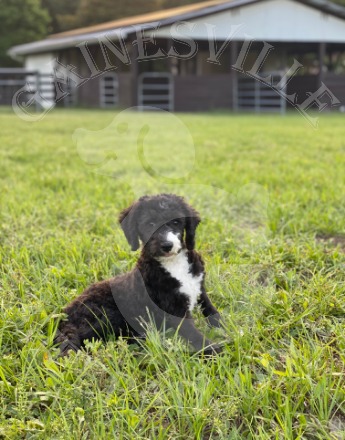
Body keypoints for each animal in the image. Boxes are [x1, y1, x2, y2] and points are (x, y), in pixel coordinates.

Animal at [55, 194, 222, 356]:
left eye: (176, 222)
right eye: (150, 224)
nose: (167, 245)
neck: (173, 263)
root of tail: (65, 315)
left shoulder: (199, 288)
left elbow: (212, 311)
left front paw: (223, 328)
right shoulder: (173, 309)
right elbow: (194, 335)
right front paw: (215, 351)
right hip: (105, 314)